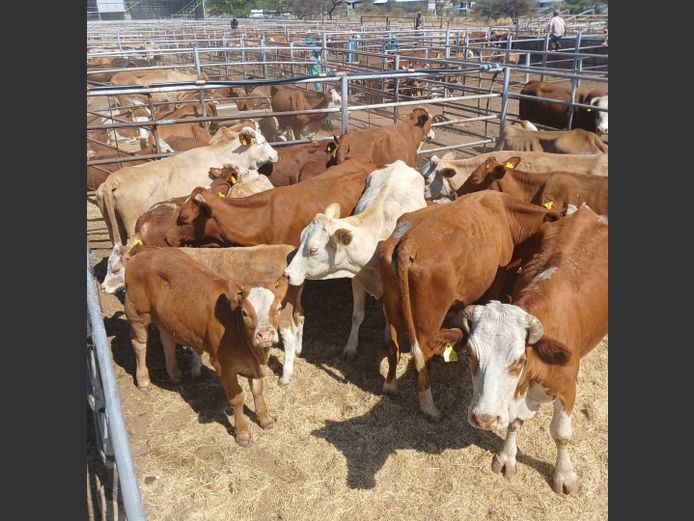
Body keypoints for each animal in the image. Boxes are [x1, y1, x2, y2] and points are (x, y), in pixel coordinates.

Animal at [124, 246, 284, 446]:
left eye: (279, 308)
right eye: (244, 313)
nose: (265, 335)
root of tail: (145, 250)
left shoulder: (255, 365)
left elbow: (257, 391)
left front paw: (265, 419)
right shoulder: (223, 366)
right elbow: (237, 398)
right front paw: (243, 433)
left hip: (165, 317)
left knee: (167, 340)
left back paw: (175, 374)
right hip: (137, 312)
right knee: (139, 344)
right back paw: (144, 381)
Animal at [284, 161, 427, 362]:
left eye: (313, 249)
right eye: (300, 238)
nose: (287, 274)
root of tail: (398, 164)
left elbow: (388, 314)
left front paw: (386, 337)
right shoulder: (357, 279)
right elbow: (357, 316)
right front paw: (350, 347)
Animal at [378, 191, 558, 420]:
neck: (508, 216)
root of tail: (406, 242)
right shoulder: (498, 279)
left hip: (392, 307)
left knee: (394, 347)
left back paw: (390, 386)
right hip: (428, 318)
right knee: (424, 353)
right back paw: (429, 407)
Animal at [447, 205, 607, 494]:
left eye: (519, 360)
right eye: (471, 356)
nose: (484, 419)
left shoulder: (567, 390)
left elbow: (561, 433)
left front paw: (564, 474)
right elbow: (513, 422)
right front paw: (507, 457)